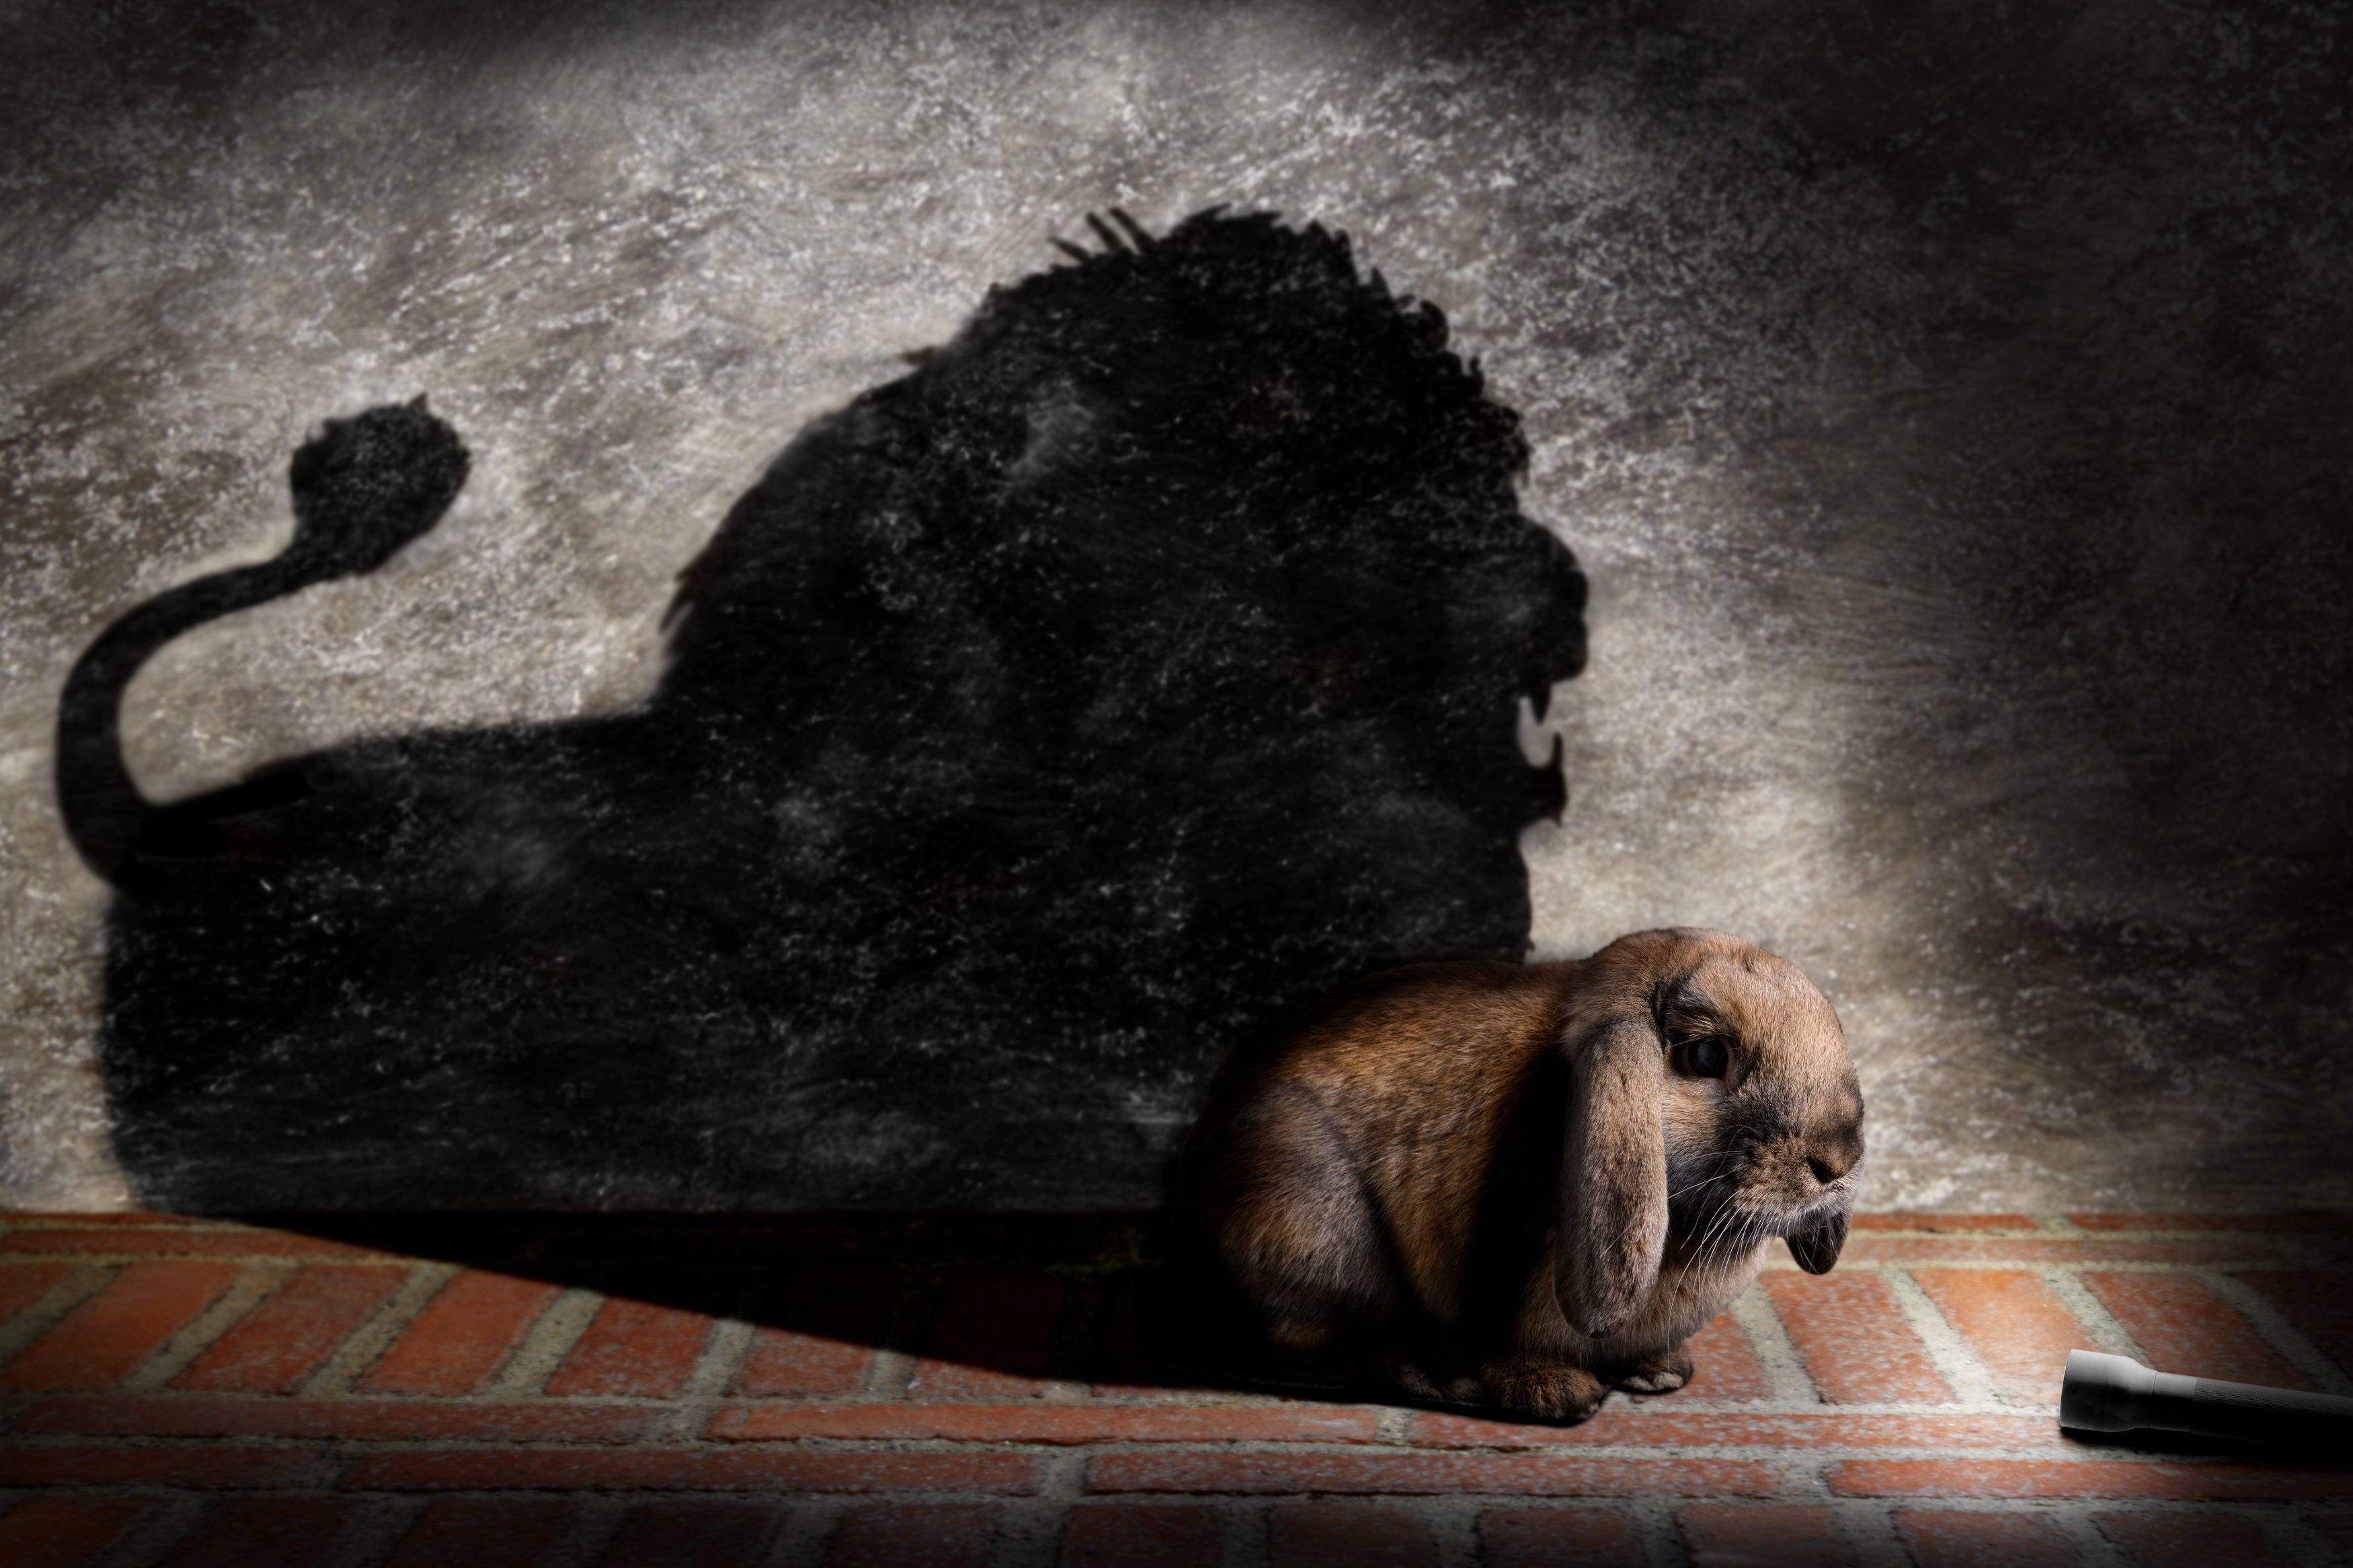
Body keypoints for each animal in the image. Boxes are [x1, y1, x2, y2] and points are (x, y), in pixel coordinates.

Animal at [1194, 927, 1862, 1420]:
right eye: (1706, 1056)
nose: (1838, 1160)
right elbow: (1503, 1338)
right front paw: (1557, 1393)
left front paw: (1660, 1372)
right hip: (1313, 1221)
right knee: (1311, 1345)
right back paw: (1439, 1376)